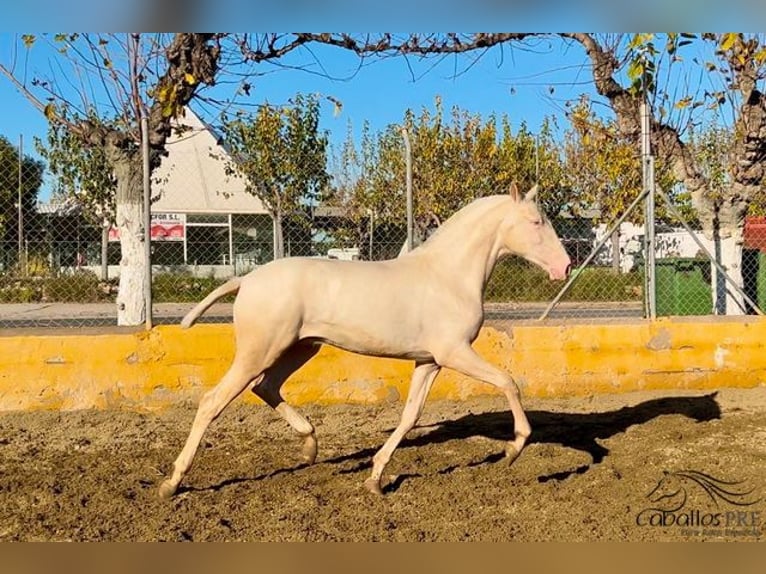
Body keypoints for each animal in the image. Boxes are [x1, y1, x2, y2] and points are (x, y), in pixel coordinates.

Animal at [159, 184, 572, 500]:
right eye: (537, 222)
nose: (564, 267)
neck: (448, 275)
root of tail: (247, 279)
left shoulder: (429, 361)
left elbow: (410, 416)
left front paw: (374, 479)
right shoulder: (454, 352)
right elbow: (508, 382)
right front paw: (513, 448)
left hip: (301, 347)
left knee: (266, 387)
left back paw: (310, 445)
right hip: (259, 351)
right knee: (213, 401)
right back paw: (172, 482)